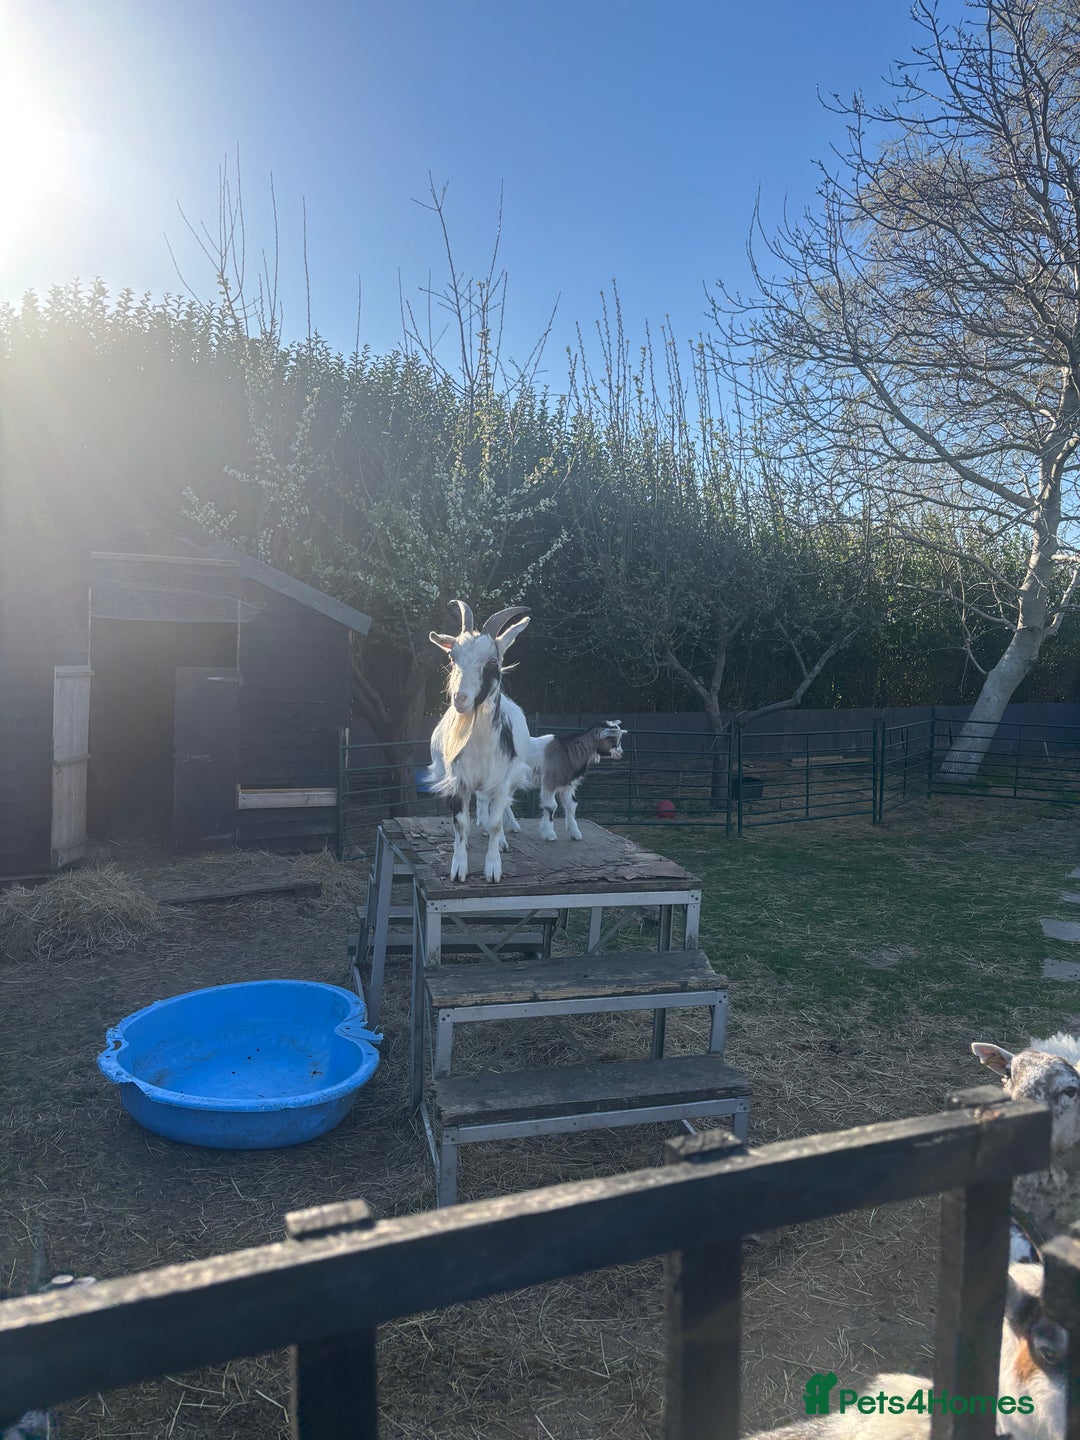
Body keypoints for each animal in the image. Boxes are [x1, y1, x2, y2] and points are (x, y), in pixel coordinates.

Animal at [426, 600, 533, 883]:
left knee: (497, 807)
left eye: (493, 661)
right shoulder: (457, 779)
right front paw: (458, 867)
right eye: (453, 657)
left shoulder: (503, 778)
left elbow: (496, 822)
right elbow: (461, 823)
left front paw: (493, 868)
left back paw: (502, 838)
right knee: (481, 802)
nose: (460, 698)